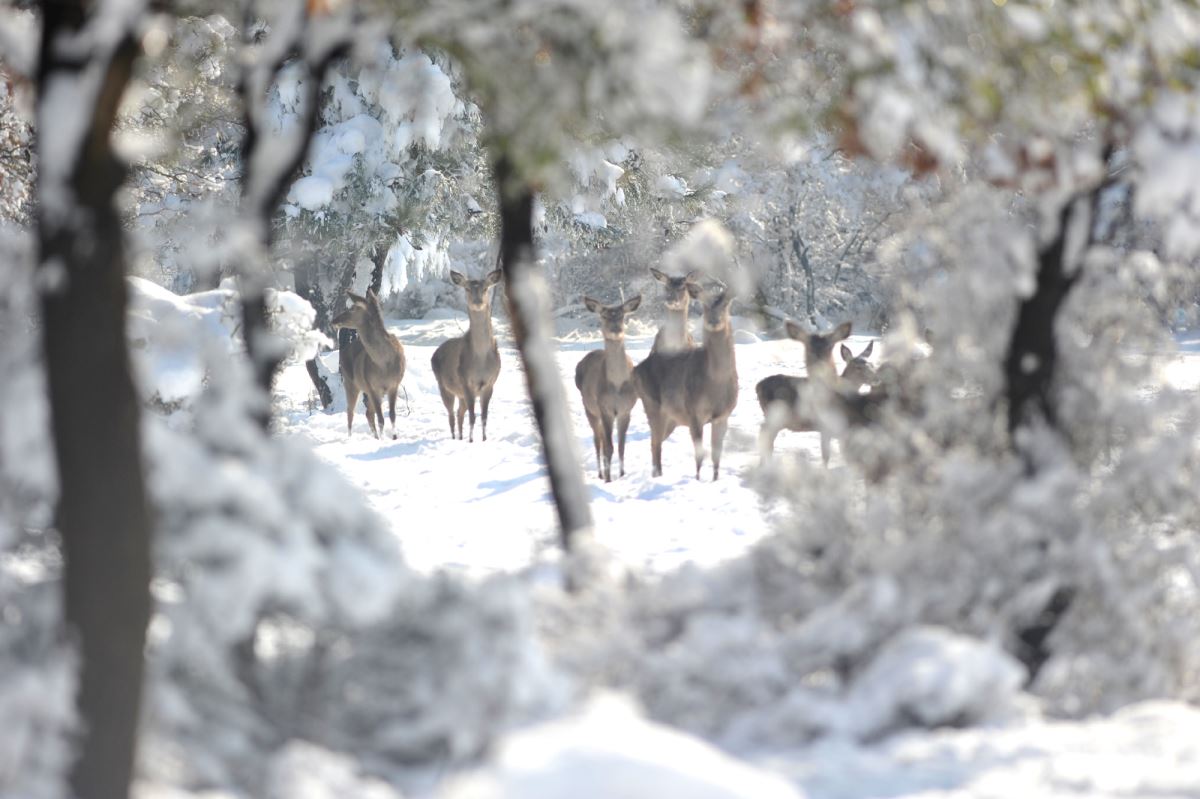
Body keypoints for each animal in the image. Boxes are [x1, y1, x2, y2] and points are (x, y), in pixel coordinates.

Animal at [333, 287, 408, 439]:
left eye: (353, 308)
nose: (334, 320)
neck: (384, 363)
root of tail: (344, 350)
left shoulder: (394, 384)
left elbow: (392, 415)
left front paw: (394, 437)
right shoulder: (372, 386)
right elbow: (381, 419)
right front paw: (384, 440)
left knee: (368, 413)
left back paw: (375, 436)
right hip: (350, 382)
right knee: (350, 411)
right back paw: (350, 437)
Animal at [432, 267, 501, 441]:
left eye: (486, 288)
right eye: (467, 289)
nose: (478, 302)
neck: (481, 359)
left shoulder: (490, 383)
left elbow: (484, 417)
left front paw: (484, 439)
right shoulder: (466, 382)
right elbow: (473, 416)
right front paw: (471, 440)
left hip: (460, 394)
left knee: (459, 413)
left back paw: (460, 436)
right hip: (444, 386)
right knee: (451, 414)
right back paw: (455, 437)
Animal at [576, 292, 643, 479]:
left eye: (622, 315)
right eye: (604, 315)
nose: (616, 330)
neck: (617, 385)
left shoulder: (625, 409)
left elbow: (621, 447)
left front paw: (621, 474)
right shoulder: (604, 408)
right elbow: (609, 447)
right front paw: (608, 479)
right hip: (589, 408)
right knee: (597, 441)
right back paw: (600, 474)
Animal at [633, 279, 734, 479]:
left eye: (725, 304)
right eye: (703, 303)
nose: (713, 320)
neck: (716, 382)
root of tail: (636, 369)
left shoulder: (723, 415)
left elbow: (716, 457)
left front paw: (715, 480)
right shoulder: (694, 412)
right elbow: (699, 456)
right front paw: (697, 480)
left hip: (672, 418)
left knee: (656, 443)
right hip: (652, 405)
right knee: (655, 443)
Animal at [753, 319, 859, 463]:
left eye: (830, 346)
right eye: (808, 346)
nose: (819, 362)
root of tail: (758, 385)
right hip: (775, 414)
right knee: (765, 434)